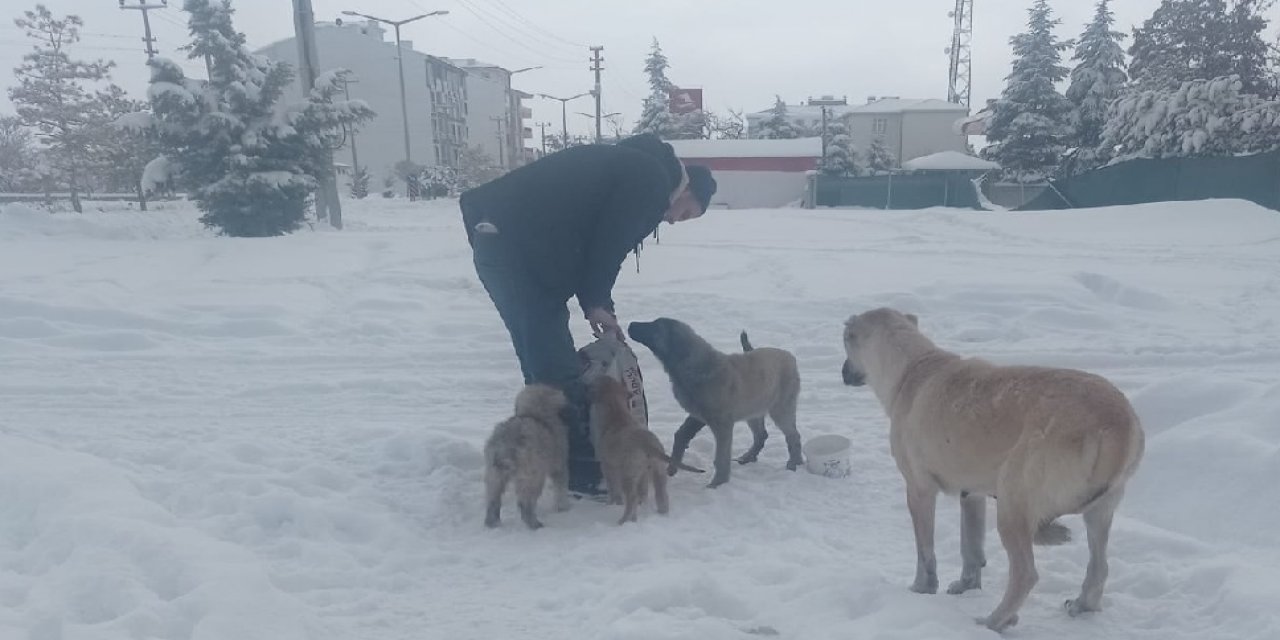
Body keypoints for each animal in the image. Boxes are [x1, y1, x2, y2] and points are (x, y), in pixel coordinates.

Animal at [483, 384, 570, 529]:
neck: (535, 412)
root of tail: (506, 444)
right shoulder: (559, 466)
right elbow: (561, 488)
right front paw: (563, 507)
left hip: (494, 476)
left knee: (493, 501)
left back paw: (492, 523)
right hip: (532, 477)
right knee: (525, 503)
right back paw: (534, 524)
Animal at [586, 376, 706, 522]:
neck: (617, 413)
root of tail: (648, 443)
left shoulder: (608, 466)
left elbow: (613, 490)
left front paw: (612, 503)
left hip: (628, 474)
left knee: (632, 498)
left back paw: (622, 521)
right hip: (658, 472)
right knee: (662, 496)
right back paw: (661, 514)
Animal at [627, 317, 798, 486]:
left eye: (654, 326)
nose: (630, 324)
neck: (697, 366)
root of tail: (789, 356)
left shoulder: (723, 425)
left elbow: (721, 457)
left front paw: (717, 484)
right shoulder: (698, 416)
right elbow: (681, 435)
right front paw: (672, 468)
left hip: (781, 408)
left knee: (793, 435)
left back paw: (794, 463)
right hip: (753, 409)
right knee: (761, 435)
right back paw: (748, 457)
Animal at [839, 308, 1152, 629]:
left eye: (847, 343)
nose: (843, 373)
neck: (913, 367)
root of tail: (1116, 425)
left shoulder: (919, 490)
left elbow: (925, 552)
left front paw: (921, 589)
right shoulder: (971, 494)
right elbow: (971, 548)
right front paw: (966, 586)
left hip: (1013, 504)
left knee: (1026, 574)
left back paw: (994, 621)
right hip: (1099, 512)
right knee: (1100, 566)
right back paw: (1082, 605)